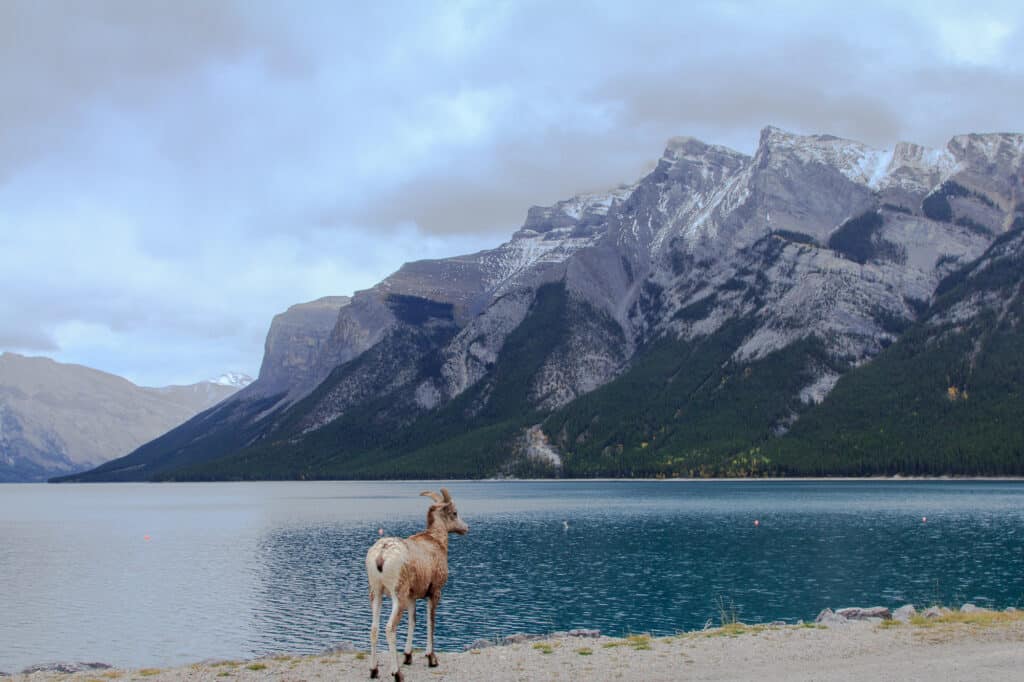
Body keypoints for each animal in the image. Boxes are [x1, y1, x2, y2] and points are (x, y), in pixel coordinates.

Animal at [364, 485, 468, 675]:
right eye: (455, 513)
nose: (466, 528)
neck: (437, 542)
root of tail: (381, 555)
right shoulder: (434, 592)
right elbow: (430, 621)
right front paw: (432, 659)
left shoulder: (413, 597)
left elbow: (413, 621)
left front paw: (408, 656)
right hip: (398, 596)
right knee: (390, 628)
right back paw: (397, 673)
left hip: (376, 592)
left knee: (374, 628)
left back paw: (374, 671)